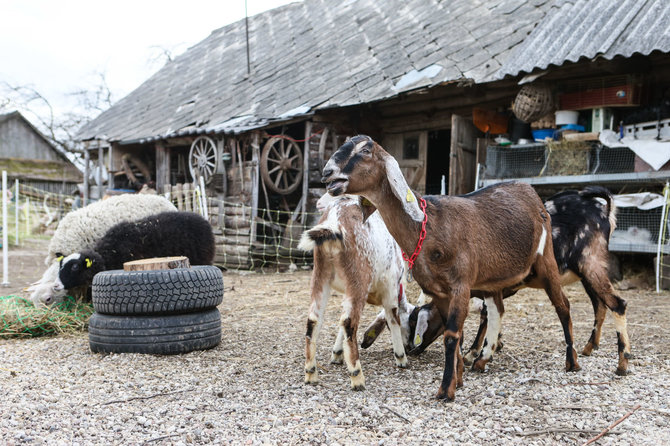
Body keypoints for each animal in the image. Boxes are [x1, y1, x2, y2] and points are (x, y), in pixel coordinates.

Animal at [56, 213, 217, 292]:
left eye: (75, 267)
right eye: (61, 265)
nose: (56, 285)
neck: (107, 254)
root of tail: (203, 220)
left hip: (202, 260)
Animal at [300, 193, 414, 388]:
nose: (410, 347)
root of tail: (334, 222)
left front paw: (337, 354)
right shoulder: (391, 289)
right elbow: (393, 318)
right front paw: (401, 358)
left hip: (321, 275)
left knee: (314, 320)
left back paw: (311, 373)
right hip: (358, 278)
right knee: (349, 322)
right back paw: (357, 376)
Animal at [322, 135, 584, 400]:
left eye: (365, 150)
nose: (327, 173)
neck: (430, 226)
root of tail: (530, 191)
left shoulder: (460, 285)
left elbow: (451, 336)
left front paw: (446, 389)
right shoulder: (440, 293)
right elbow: (457, 334)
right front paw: (458, 380)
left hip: (545, 262)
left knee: (563, 306)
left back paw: (572, 361)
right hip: (494, 281)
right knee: (497, 311)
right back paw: (482, 359)